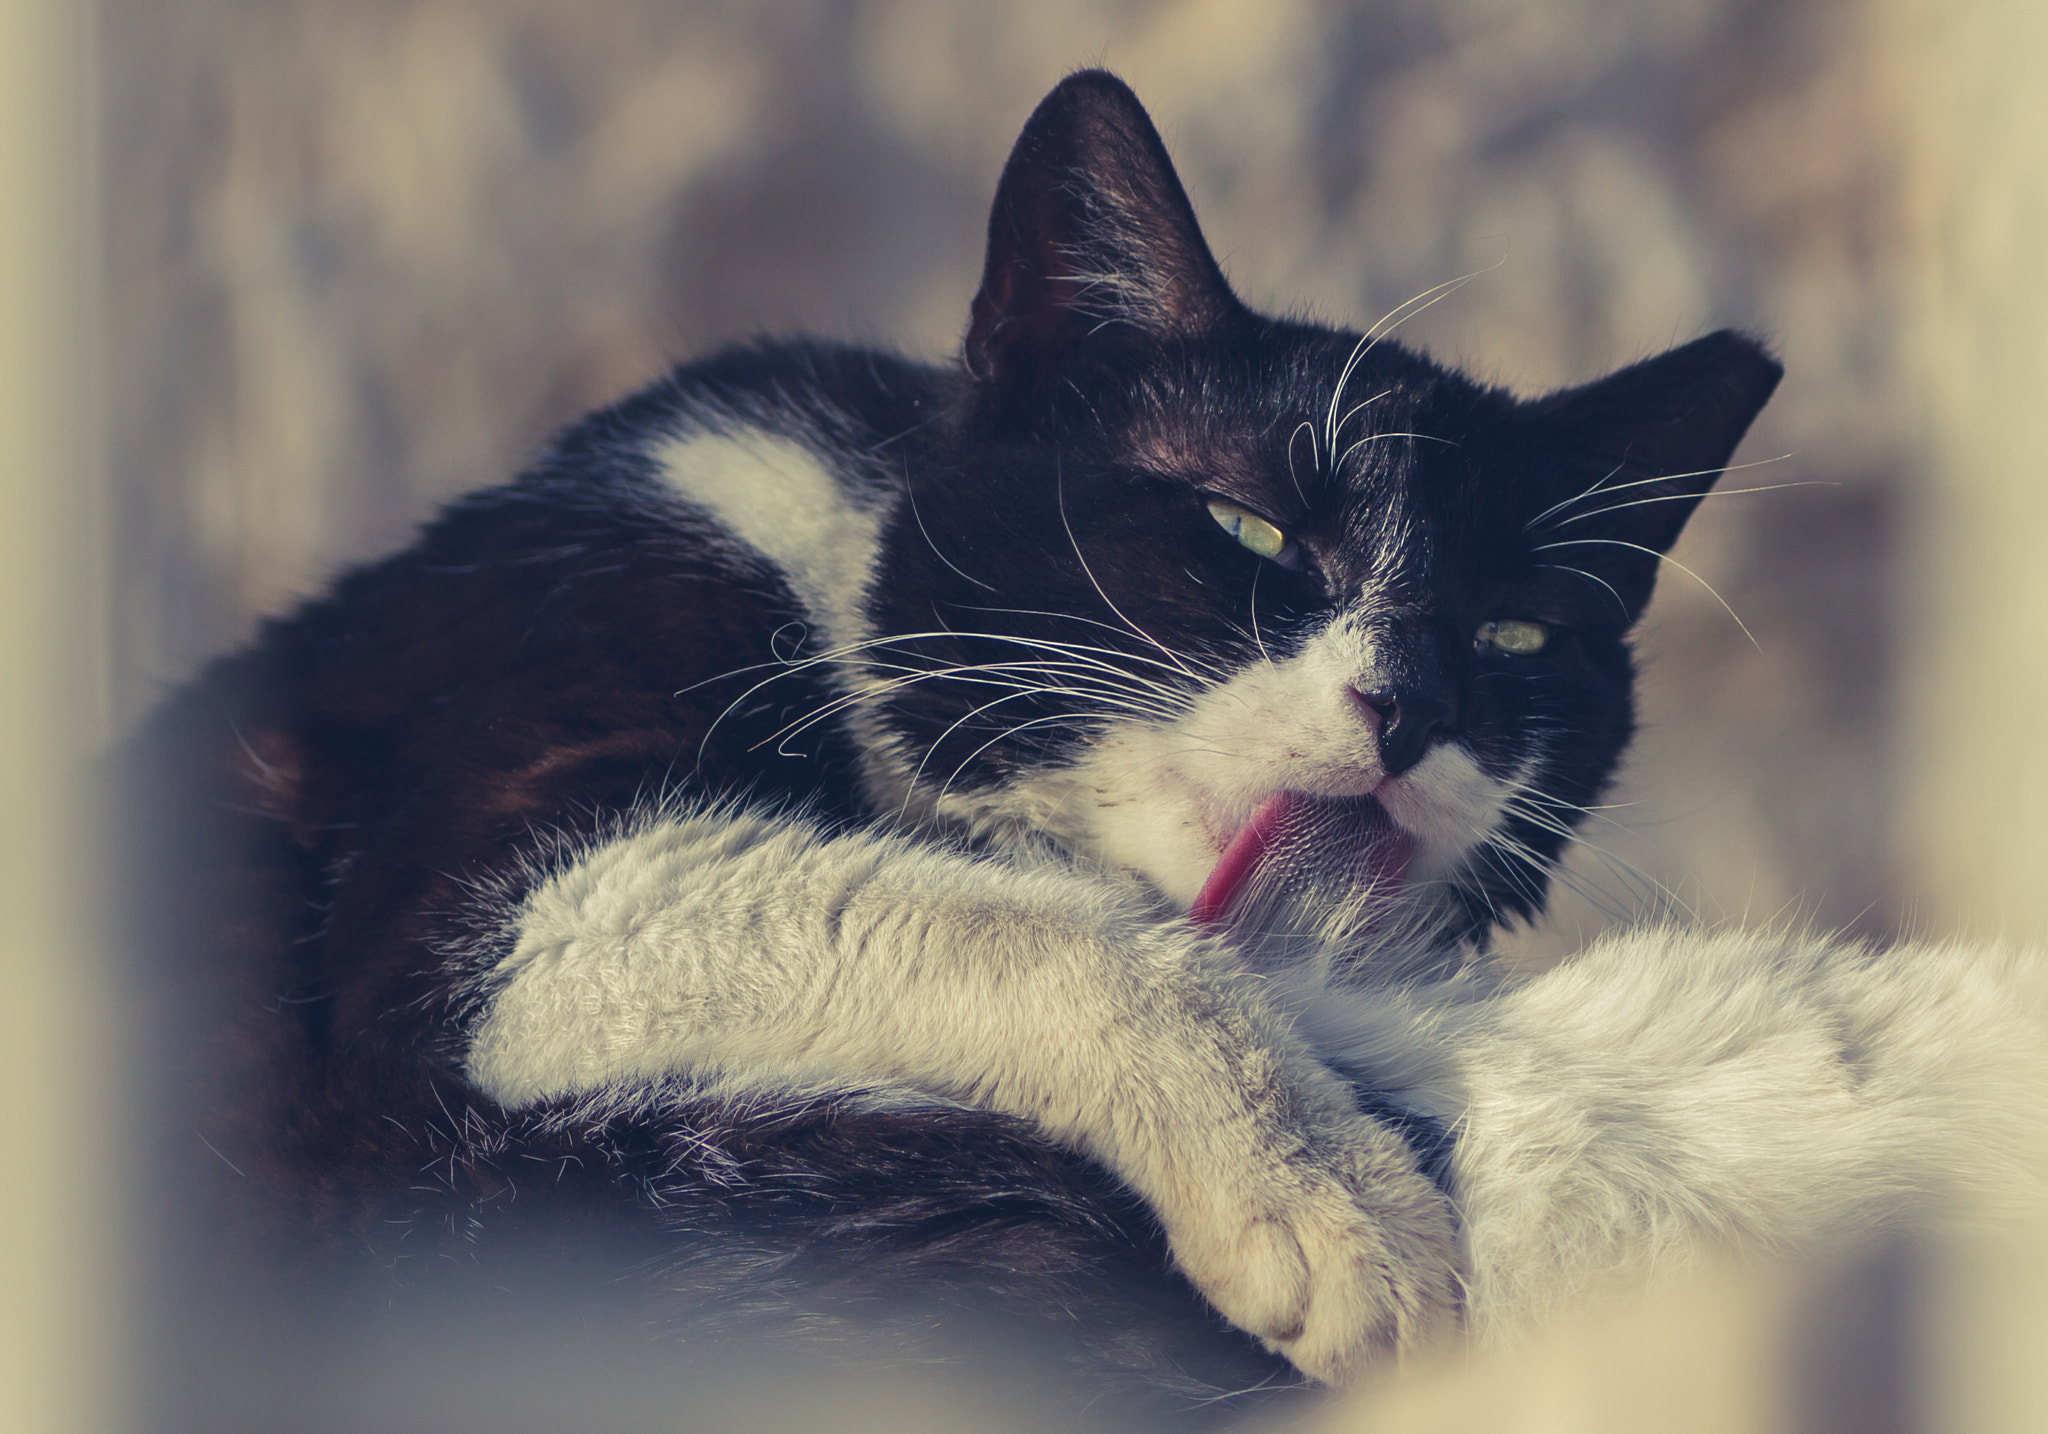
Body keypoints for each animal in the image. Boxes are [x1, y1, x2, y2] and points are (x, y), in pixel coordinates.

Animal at [136, 70, 2039, 1425]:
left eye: (1517, 636)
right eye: (1251, 531)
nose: (1412, 706)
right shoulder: (491, 894)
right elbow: (1060, 930)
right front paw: (1338, 1216)